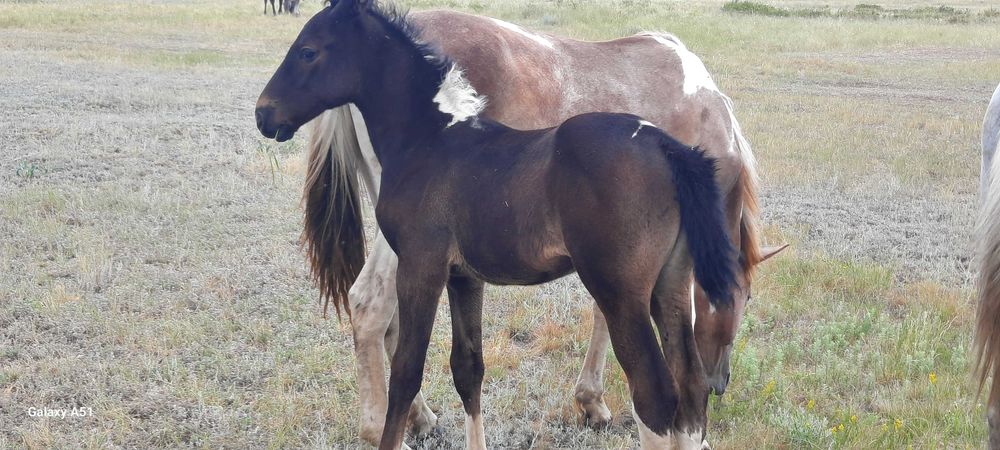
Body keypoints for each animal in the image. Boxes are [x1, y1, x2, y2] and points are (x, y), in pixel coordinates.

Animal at [256, 1, 742, 448]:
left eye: (308, 52)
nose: (264, 114)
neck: (431, 140)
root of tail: (667, 147)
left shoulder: (421, 266)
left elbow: (408, 373)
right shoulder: (463, 277)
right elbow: (468, 368)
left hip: (621, 292)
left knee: (655, 395)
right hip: (669, 285)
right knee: (689, 389)